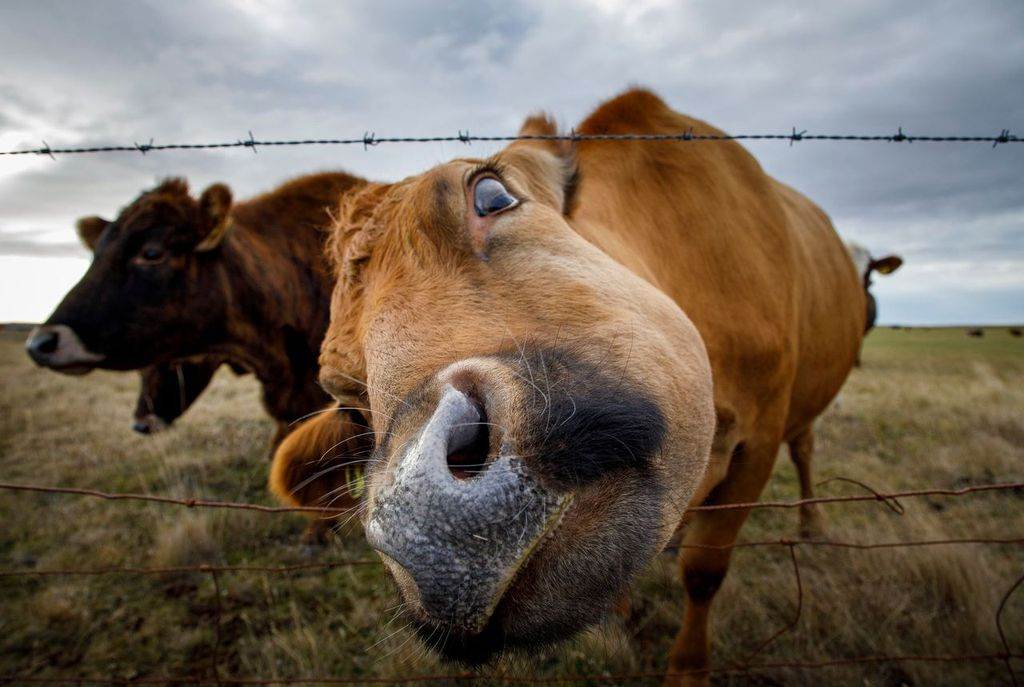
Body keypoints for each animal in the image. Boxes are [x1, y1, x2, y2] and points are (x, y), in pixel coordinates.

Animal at [272, 90, 864, 683]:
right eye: (352, 406)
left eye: (491, 194)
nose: (426, 520)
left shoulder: (759, 439)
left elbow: (704, 570)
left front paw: (688, 669)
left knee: (804, 450)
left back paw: (813, 524)